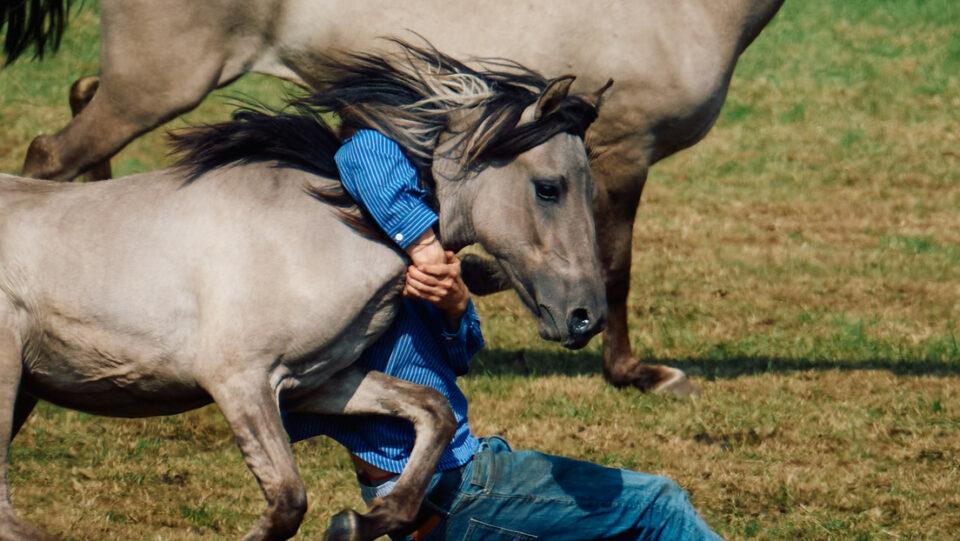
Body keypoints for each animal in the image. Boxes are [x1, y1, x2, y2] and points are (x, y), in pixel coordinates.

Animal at [0, 42, 611, 540]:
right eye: (549, 188)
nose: (586, 316)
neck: (323, 226)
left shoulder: (316, 384)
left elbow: (433, 411)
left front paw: (362, 521)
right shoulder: (240, 383)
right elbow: (288, 501)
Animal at [1, 0, 786, 396]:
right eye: (547, 187)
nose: (576, 322)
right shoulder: (626, 150)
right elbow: (614, 265)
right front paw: (636, 372)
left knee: (78, 111)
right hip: (159, 80)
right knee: (51, 152)